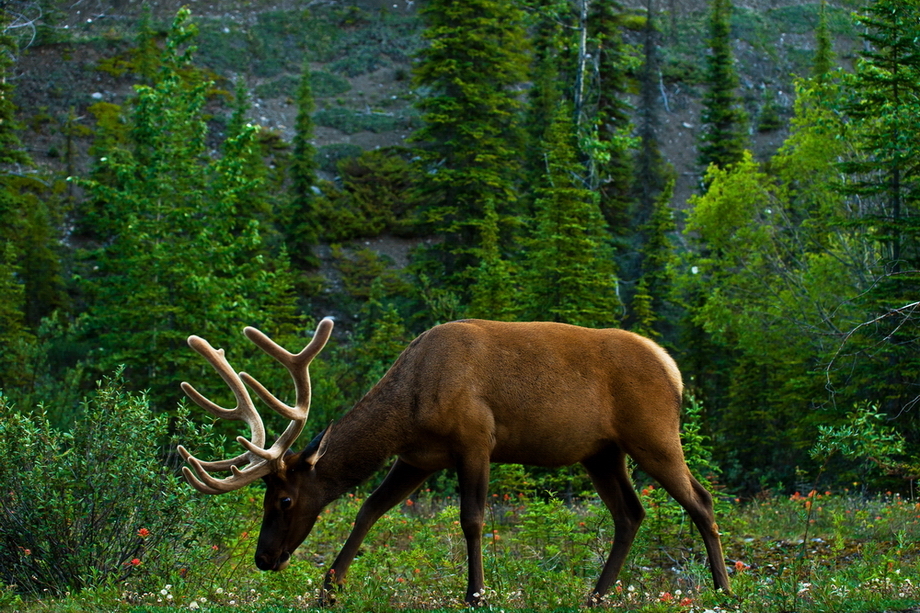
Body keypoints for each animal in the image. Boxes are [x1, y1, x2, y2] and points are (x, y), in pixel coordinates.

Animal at [176, 318, 728, 604]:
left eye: (285, 499)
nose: (264, 558)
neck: (409, 406)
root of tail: (674, 369)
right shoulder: (420, 457)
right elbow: (369, 510)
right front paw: (329, 590)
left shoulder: (475, 440)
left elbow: (472, 520)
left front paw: (475, 594)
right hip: (602, 453)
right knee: (631, 514)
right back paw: (594, 597)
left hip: (653, 434)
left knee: (701, 501)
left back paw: (722, 590)